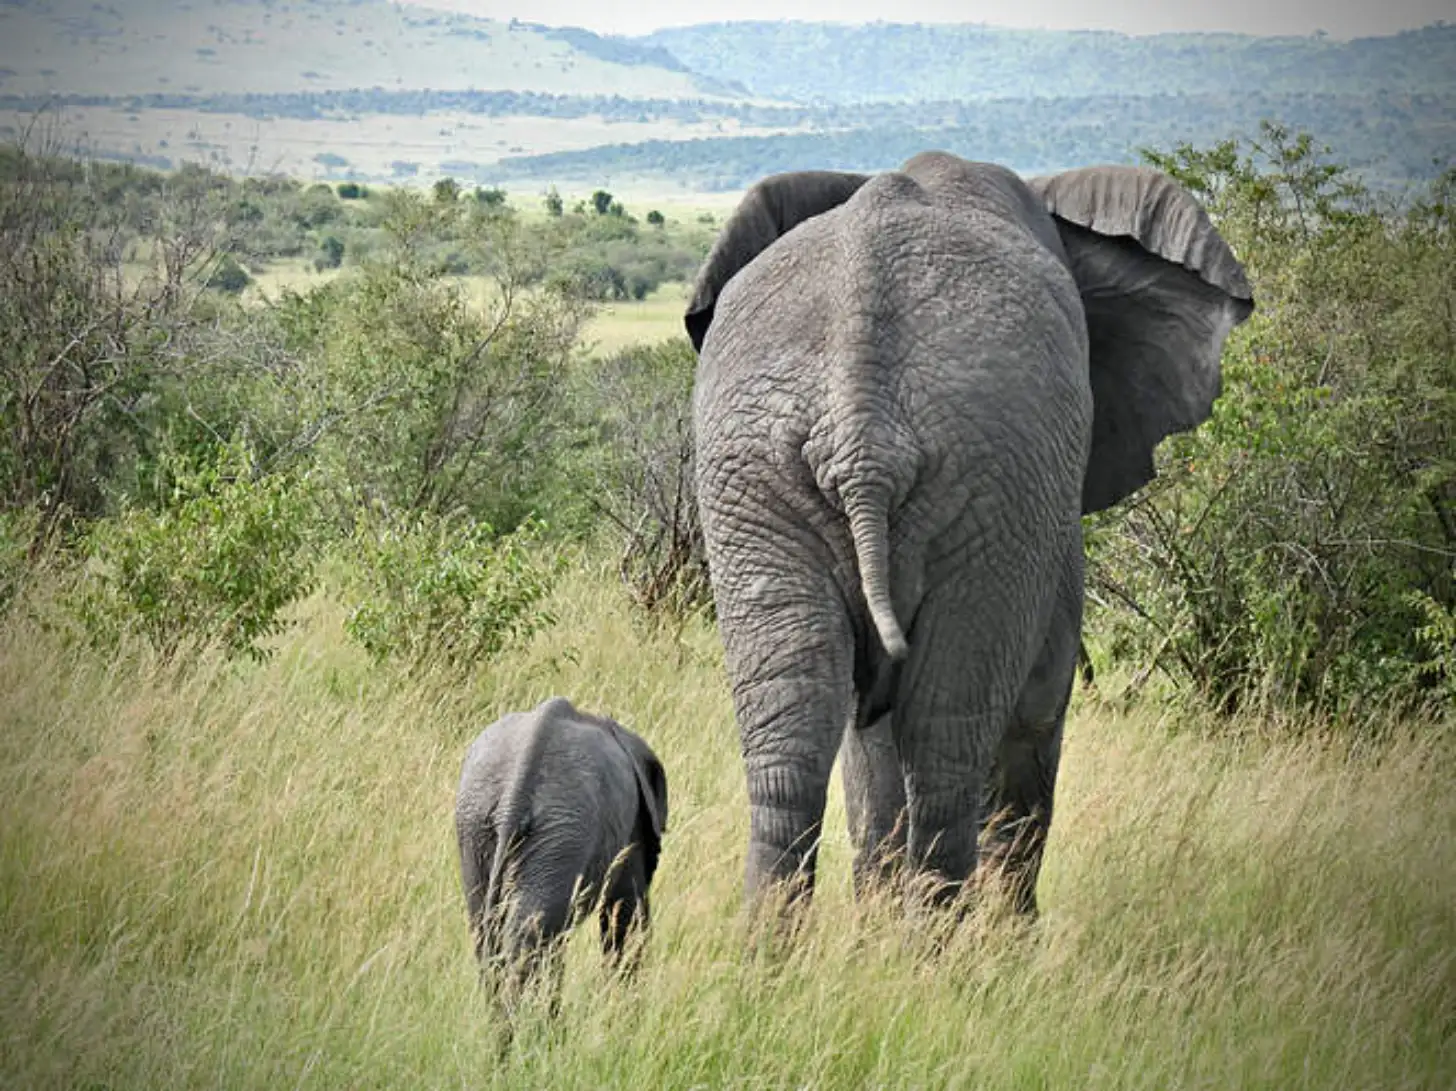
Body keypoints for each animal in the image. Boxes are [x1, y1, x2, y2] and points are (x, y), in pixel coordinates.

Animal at [454, 696, 669, 1017]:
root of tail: (513, 798)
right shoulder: (632, 827)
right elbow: (625, 914)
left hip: (479, 826)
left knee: (490, 933)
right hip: (561, 833)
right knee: (534, 937)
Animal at [684, 151, 1252, 915]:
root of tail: (862, 423)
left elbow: (869, 738)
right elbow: (1034, 710)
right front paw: (1005, 934)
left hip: (753, 474)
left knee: (792, 745)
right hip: (989, 479)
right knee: (946, 741)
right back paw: (943, 942)